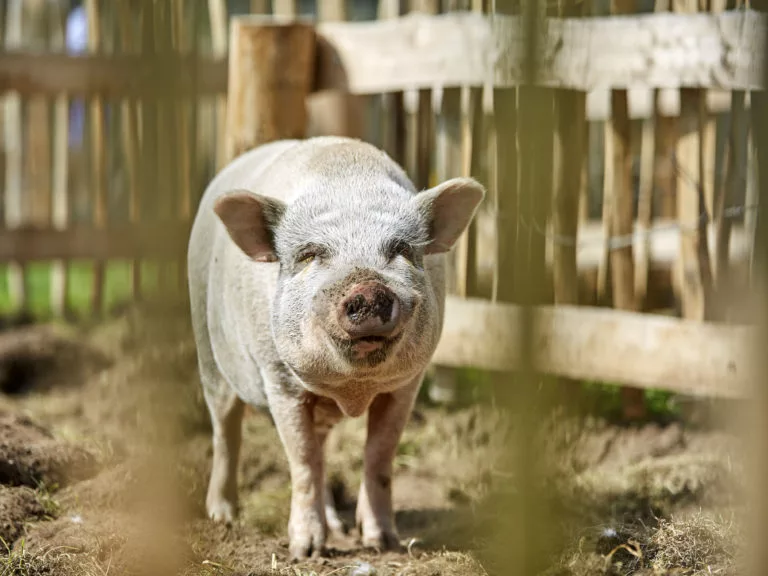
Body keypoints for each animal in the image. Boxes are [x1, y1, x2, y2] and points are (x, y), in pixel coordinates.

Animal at [188, 135, 486, 560]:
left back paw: (337, 527)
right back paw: (223, 516)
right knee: (225, 430)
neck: (353, 391)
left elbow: (379, 456)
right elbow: (301, 461)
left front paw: (384, 544)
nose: (369, 288)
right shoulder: (279, 381)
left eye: (401, 250)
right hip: (208, 352)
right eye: (310, 254)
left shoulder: (407, 386)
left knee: (322, 448)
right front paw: (306, 552)